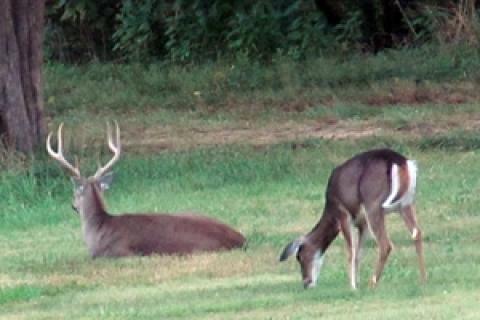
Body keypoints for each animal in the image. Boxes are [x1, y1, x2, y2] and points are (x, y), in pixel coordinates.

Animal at [280, 149, 426, 288]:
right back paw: (423, 279)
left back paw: (372, 283)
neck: (330, 210)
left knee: (385, 244)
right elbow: (359, 253)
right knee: (417, 232)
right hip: (405, 203)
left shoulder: (343, 214)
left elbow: (351, 252)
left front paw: (352, 286)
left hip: (373, 203)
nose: (306, 283)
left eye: (300, 256)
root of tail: (399, 160)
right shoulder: (362, 224)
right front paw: (358, 282)